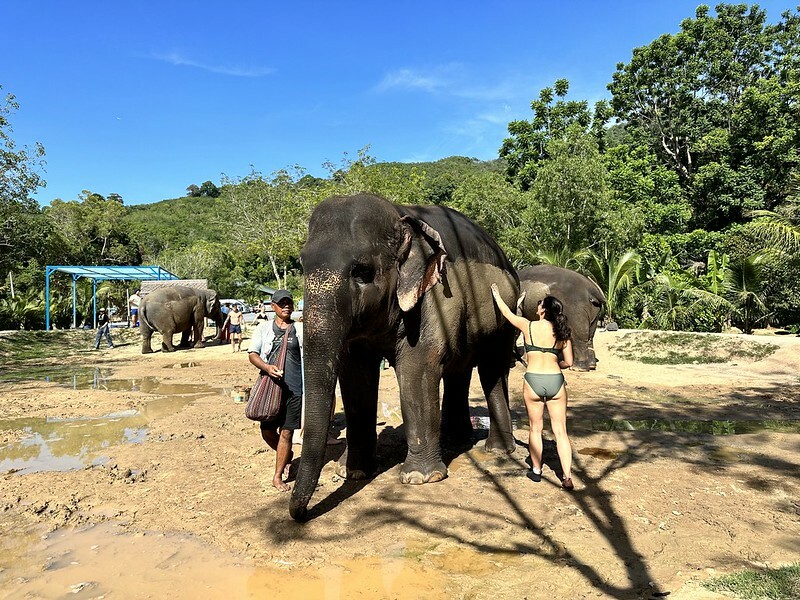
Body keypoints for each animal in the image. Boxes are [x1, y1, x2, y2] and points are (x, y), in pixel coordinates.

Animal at [290, 193, 520, 521]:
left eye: (362, 272)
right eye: (302, 264)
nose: (300, 514)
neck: (400, 214)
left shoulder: (435, 297)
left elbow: (417, 367)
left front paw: (421, 478)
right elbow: (356, 374)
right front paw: (352, 472)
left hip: (505, 312)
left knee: (492, 368)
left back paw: (497, 450)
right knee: (459, 370)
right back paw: (457, 439)